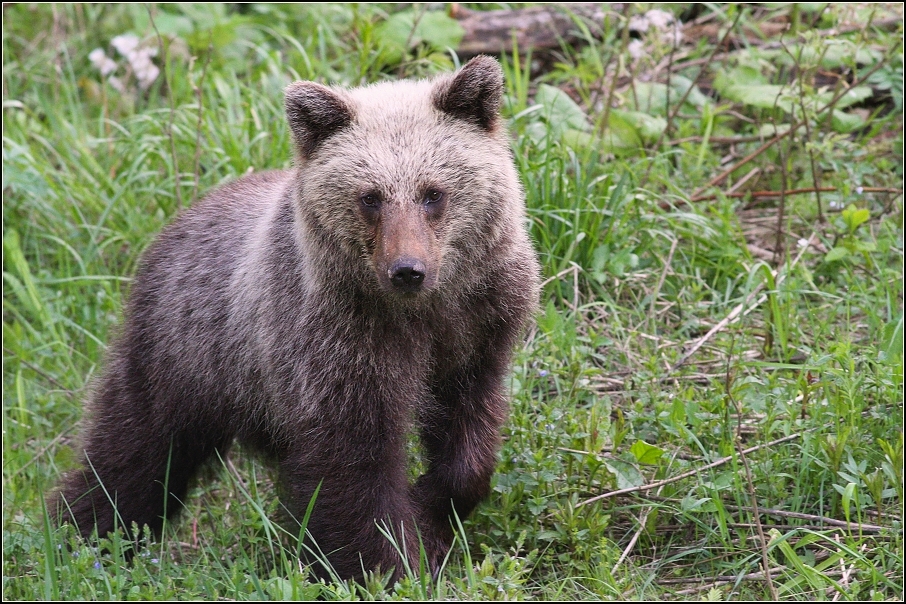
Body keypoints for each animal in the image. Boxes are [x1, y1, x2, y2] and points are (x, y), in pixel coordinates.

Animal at [49, 55, 536, 580]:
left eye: (433, 193)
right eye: (371, 197)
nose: (407, 270)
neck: (420, 313)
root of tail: (173, 226)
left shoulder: (476, 329)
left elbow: (468, 439)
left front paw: (430, 510)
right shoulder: (336, 342)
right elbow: (350, 468)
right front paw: (383, 563)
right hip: (182, 352)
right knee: (135, 452)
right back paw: (80, 537)